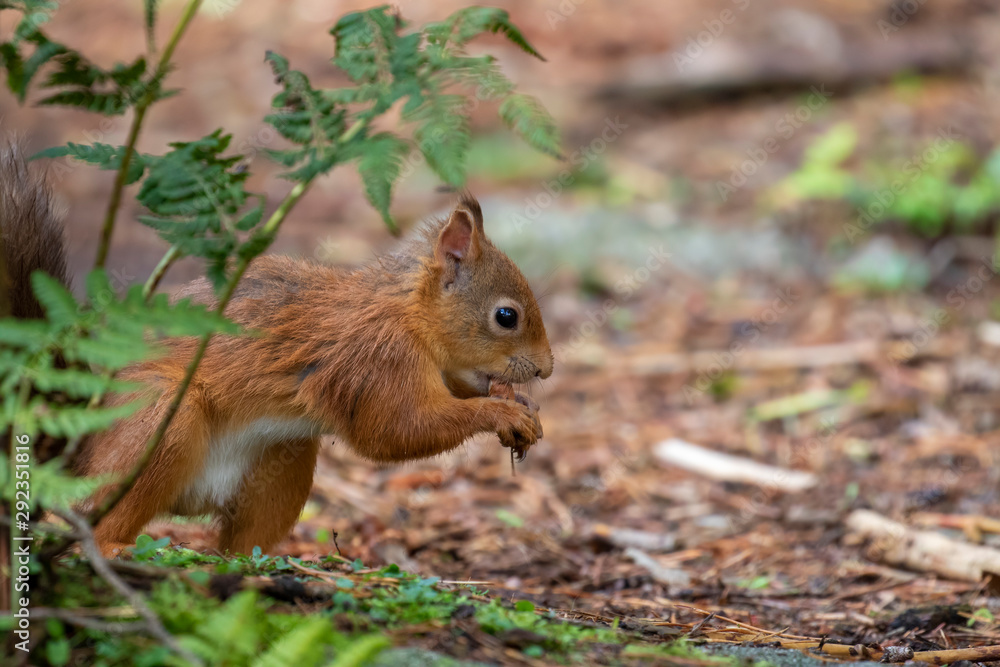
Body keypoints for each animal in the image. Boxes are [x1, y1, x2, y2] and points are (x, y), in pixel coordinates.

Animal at [0, 144, 554, 557]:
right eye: (507, 317)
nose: (546, 371)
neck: (406, 315)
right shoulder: (376, 360)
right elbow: (393, 431)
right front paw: (501, 411)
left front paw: (523, 407)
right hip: (157, 422)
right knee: (102, 518)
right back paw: (114, 548)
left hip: (280, 463)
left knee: (238, 539)